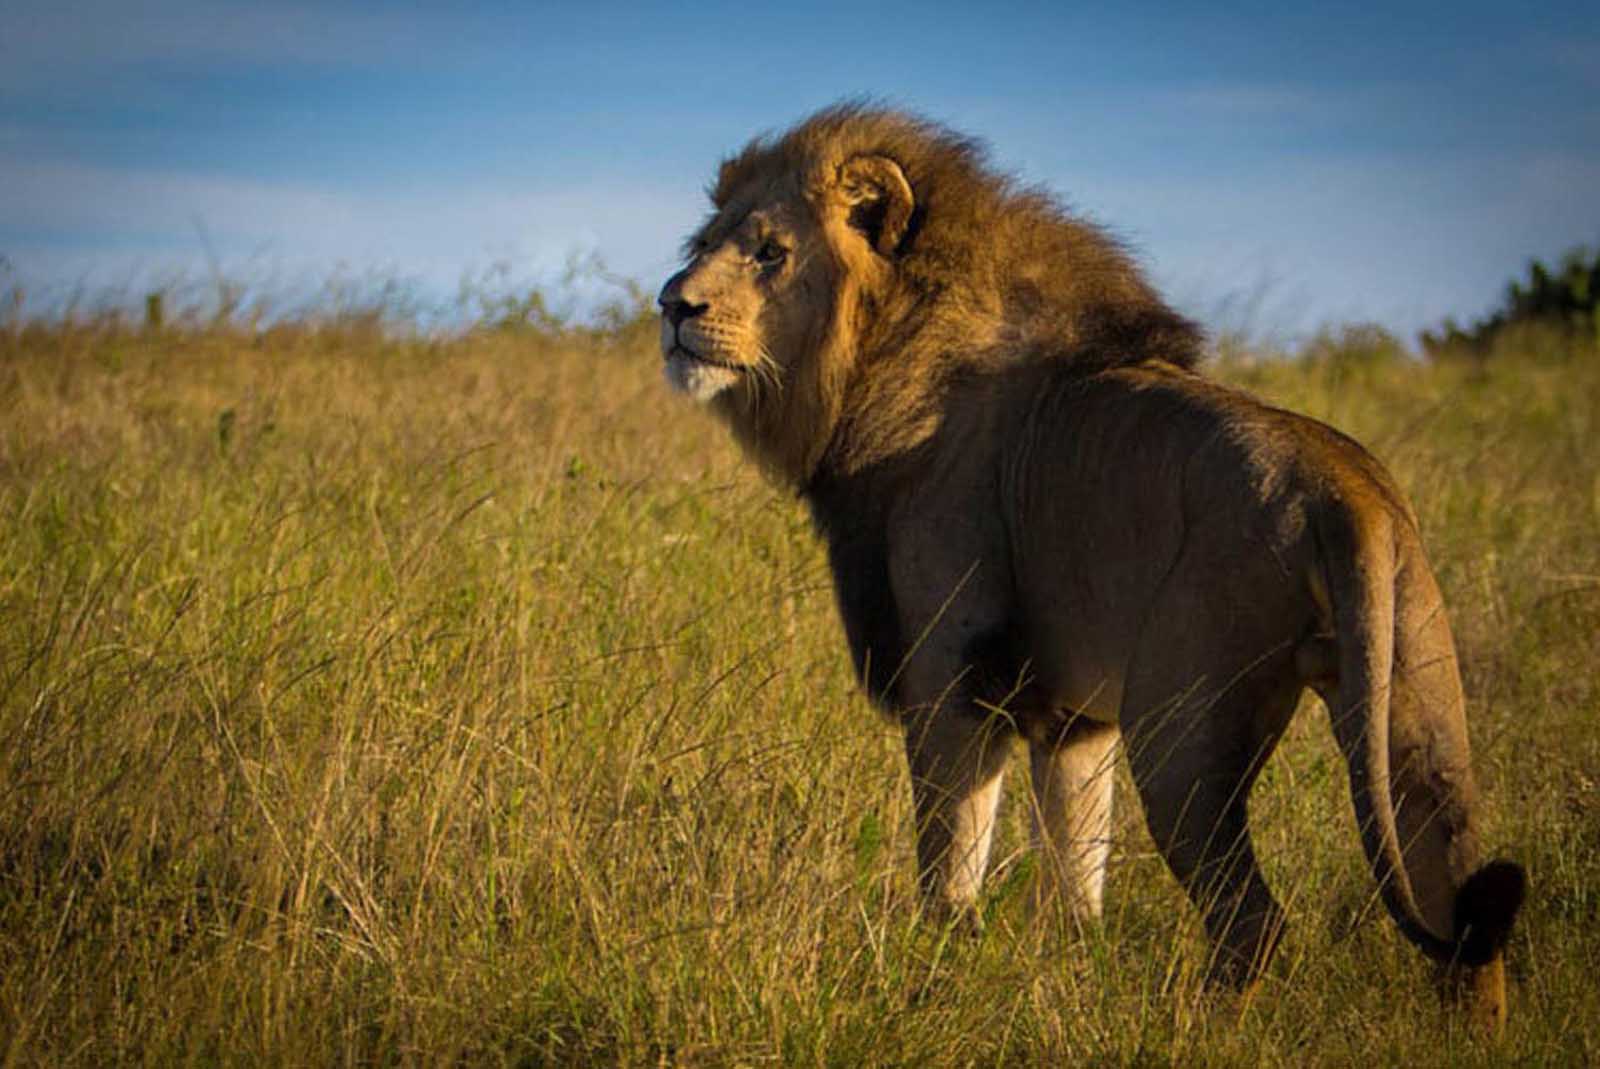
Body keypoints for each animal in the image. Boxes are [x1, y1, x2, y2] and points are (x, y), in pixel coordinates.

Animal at [659, 106, 1523, 1024]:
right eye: (706, 241)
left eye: (769, 252)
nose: (672, 304)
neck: (881, 358)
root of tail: (1341, 489)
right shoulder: (1072, 718)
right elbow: (1076, 879)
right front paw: (1069, 973)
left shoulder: (952, 676)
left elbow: (949, 865)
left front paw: (934, 976)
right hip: (1415, 695)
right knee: (1458, 903)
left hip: (1181, 724)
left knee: (1253, 919)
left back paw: (1197, 1027)